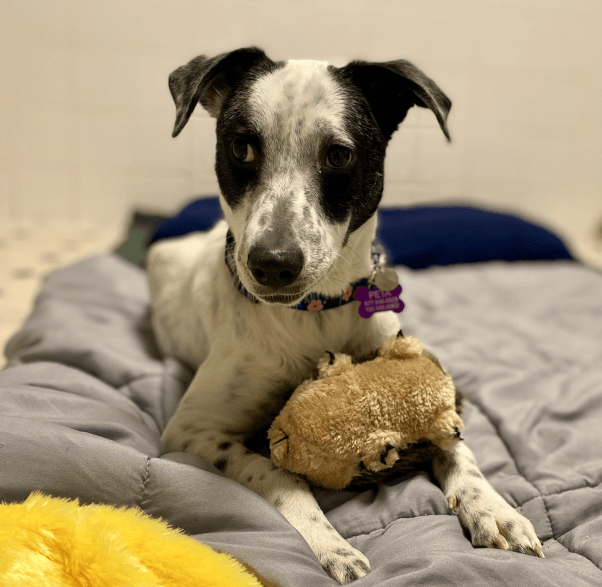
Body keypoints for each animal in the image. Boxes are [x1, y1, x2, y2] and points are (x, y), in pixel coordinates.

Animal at [146, 47, 544, 584]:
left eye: (338, 155)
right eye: (241, 148)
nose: (271, 264)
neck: (316, 312)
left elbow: (461, 449)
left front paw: (495, 510)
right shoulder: (192, 430)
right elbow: (275, 470)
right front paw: (330, 545)